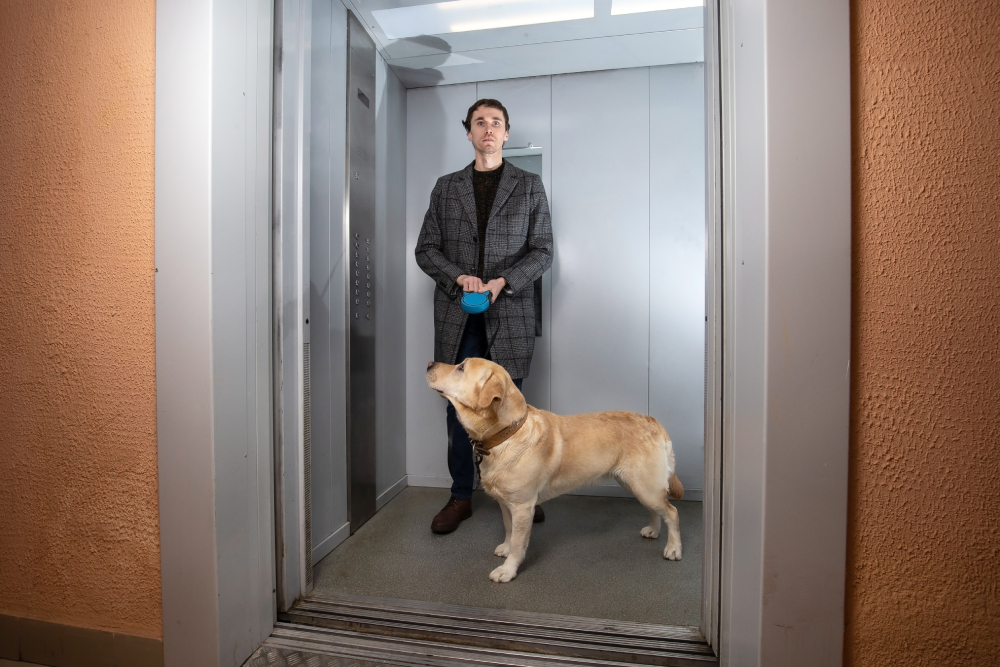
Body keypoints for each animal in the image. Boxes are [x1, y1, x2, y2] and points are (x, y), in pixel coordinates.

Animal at [426, 358, 684, 580]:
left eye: (461, 367)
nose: (429, 363)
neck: (507, 434)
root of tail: (653, 421)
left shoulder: (523, 506)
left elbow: (519, 542)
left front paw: (508, 570)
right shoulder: (505, 503)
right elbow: (509, 530)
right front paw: (506, 548)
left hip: (644, 485)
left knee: (672, 512)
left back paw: (673, 548)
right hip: (638, 485)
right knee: (658, 509)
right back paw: (653, 530)